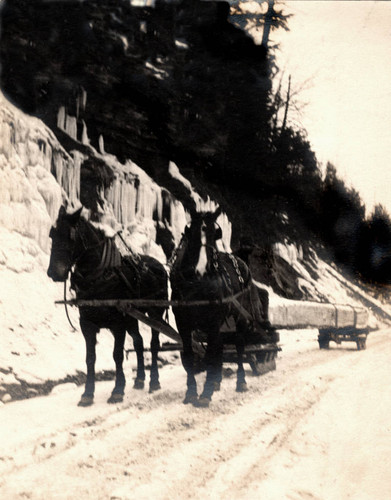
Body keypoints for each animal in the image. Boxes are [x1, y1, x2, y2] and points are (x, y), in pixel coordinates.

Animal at [46, 207, 168, 406]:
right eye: (52, 234)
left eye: (70, 236)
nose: (53, 273)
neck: (99, 277)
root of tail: (160, 265)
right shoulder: (87, 324)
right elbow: (90, 358)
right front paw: (88, 393)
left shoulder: (117, 324)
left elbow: (117, 355)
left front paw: (117, 391)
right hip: (133, 317)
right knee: (139, 342)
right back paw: (139, 379)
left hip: (155, 313)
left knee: (154, 344)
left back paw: (154, 382)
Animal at [172, 207, 270, 406]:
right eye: (191, 232)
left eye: (215, 234)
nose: (202, 269)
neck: (197, 285)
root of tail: (241, 261)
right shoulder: (182, 323)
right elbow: (190, 356)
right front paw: (191, 392)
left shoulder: (213, 321)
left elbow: (211, 354)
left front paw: (205, 394)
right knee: (220, 346)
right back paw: (216, 381)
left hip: (240, 316)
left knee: (239, 346)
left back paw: (240, 382)